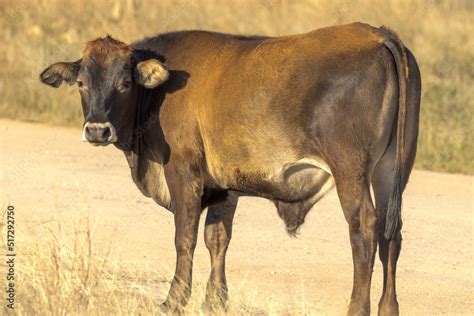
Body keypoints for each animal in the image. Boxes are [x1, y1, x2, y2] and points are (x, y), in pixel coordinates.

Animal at [39, 21, 420, 314]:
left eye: (125, 83)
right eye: (82, 83)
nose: (97, 130)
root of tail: (377, 34)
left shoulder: (183, 172)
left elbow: (185, 237)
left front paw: (174, 299)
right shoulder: (224, 185)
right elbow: (217, 238)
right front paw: (215, 300)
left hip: (350, 172)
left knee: (365, 228)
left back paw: (357, 306)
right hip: (392, 170)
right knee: (391, 235)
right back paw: (389, 307)